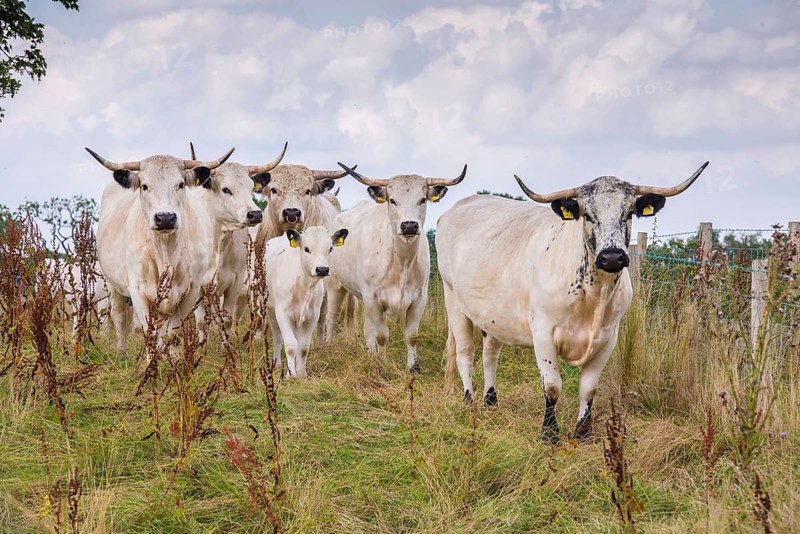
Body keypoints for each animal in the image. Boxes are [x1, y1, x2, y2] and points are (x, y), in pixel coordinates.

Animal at [87, 147, 234, 360]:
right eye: (145, 186)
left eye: (180, 184)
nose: (165, 217)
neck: (166, 254)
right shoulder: (138, 291)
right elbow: (149, 333)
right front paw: (151, 363)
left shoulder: (190, 291)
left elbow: (172, 332)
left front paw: (173, 360)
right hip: (113, 284)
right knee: (119, 317)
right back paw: (122, 353)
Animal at [188, 142, 287, 341]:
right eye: (226, 189)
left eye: (251, 189)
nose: (255, 214)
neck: (218, 242)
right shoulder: (197, 286)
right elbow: (201, 322)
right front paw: (201, 344)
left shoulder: (235, 283)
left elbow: (227, 319)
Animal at [265, 226, 348, 377]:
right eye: (306, 248)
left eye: (330, 248)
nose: (322, 269)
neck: (303, 285)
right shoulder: (282, 313)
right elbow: (290, 345)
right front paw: (290, 375)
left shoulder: (312, 316)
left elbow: (303, 347)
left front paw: (301, 374)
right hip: (271, 309)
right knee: (277, 336)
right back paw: (278, 363)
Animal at [325, 163, 467, 372]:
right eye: (392, 200)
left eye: (422, 199)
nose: (409, 225)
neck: (401, 261)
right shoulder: (373, 298)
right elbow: (382, 335)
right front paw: (382, 364)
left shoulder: (419, 298)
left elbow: (411, 335)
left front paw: (413, 366)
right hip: (335, 285)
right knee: (332, 317)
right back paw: (328, 345)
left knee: (368, 327)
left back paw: (370, 352)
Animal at [437, 162, 709, 442]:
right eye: (587, 215)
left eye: (628, 213)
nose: (612, 256)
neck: (594, 295)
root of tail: (460, 206)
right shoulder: (543, 333)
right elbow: (552, 386)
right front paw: (549, 433)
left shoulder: (608, 338)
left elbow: (589, 388)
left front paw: (583, 431)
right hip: (453, 299)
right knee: (465, 353)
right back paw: (469, 401)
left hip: (492, 316)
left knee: (490, 352)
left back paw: (491, 401)